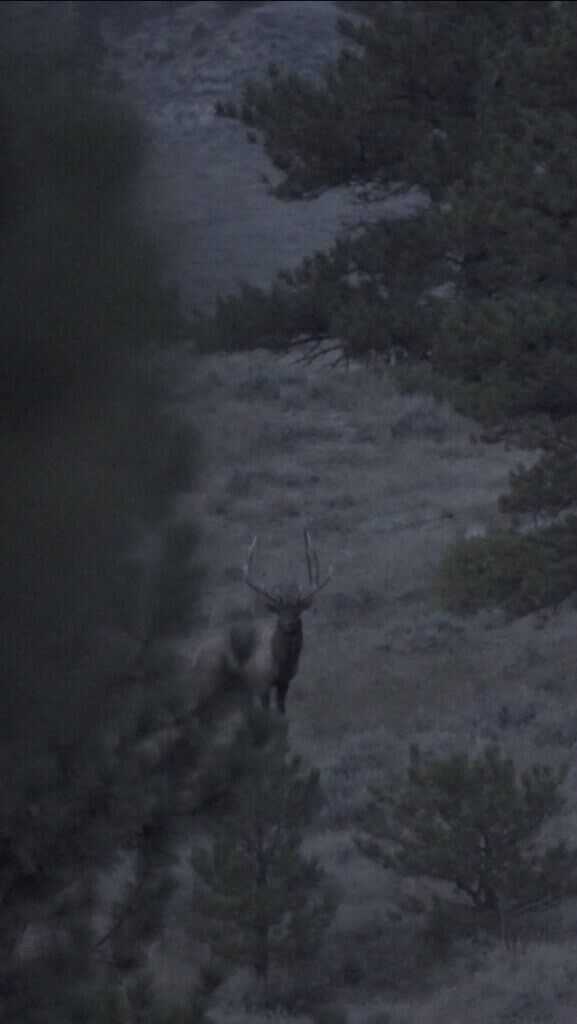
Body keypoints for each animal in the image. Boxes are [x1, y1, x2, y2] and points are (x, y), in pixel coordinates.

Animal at [191, 530, 332, 716]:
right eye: (279, 612)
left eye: (297, 611)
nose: (289, 625)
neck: (281, 663)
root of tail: (195, 658)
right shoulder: (261, 681)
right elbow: (266, 710)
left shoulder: (284, 682)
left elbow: (281, 710)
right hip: (208, 680)